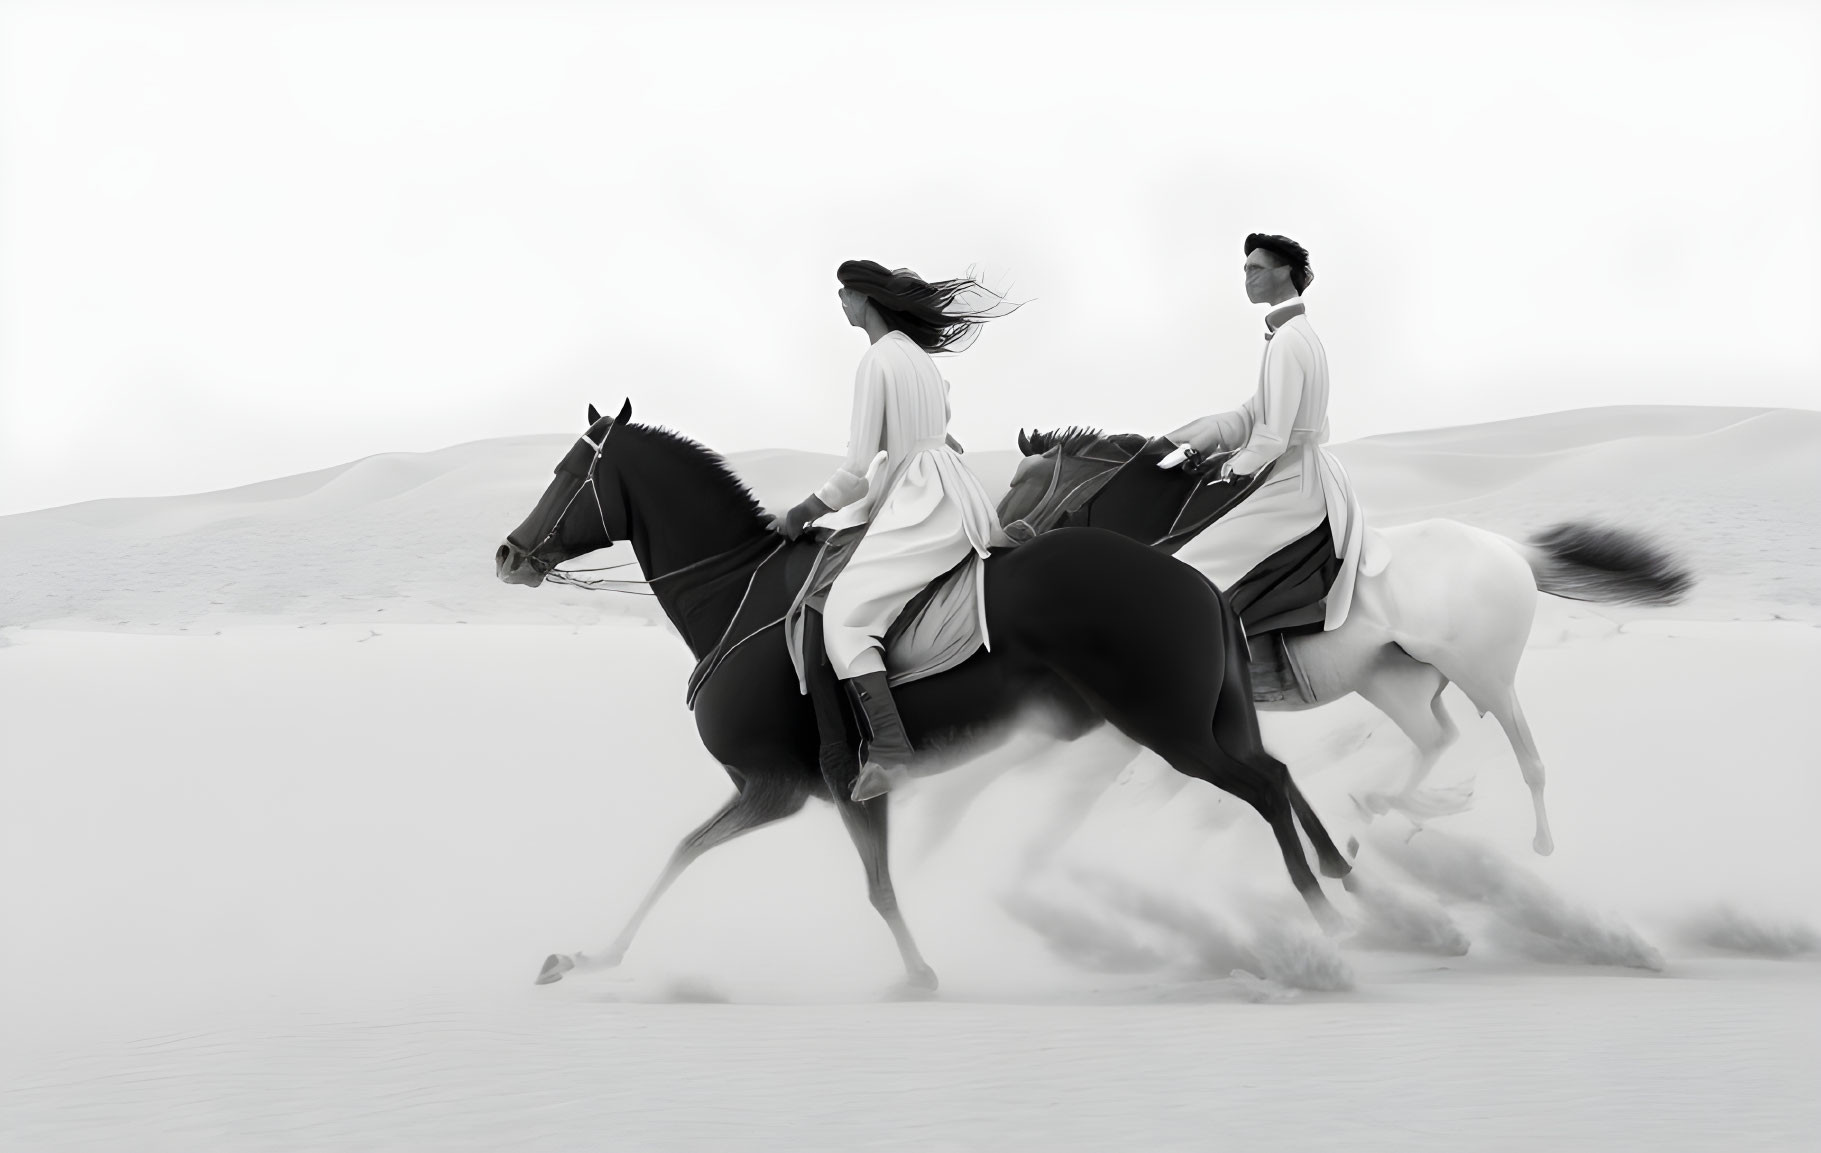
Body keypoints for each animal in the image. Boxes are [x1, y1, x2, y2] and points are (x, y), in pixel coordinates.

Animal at [498, 400, 1354, 983]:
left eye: (564, 475)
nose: (509, 553)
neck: (735, 592)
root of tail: (1195, 579)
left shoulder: (816, 782)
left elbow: (875, 883)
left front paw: (918, 974)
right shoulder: (779, 789)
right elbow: (685, 850)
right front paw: (587, 957)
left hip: (1168, 727)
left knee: (1262, 787)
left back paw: (1325, 914)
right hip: (1198, 722)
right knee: (1272, 772)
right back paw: (1339, 886)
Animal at [925, 428, 1689, 859]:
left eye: (1024, 485)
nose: (997, 546)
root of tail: (1513, 552)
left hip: (1487, 678)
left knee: (1527, 758)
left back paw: (1535, 842)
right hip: (1392, 681)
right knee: (1435, 737)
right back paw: (1382, 811)